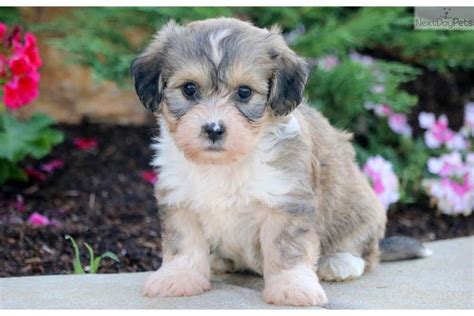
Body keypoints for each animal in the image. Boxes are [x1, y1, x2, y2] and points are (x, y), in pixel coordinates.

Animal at [131, 17, 428, 306]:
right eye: (189, 89)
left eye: (244, 92)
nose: (213, 129)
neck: (227, 164)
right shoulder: (180, 200)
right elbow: (183, 243)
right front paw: (178, 277)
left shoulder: (287, 202)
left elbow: (286, 249)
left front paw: (292, 287)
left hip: (361, 209)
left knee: (365, 252)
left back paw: (339, 262)